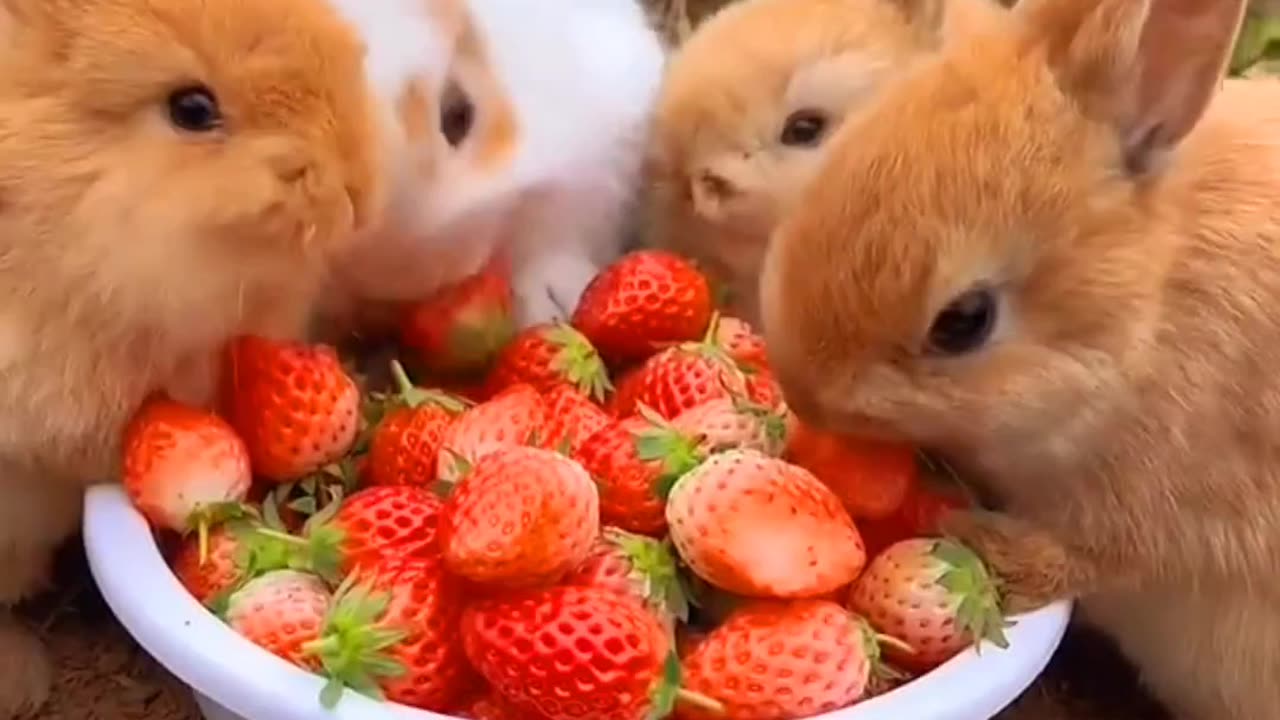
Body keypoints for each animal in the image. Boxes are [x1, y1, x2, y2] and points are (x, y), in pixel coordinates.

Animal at [757, 0, 1280, 712]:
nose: (800, 390)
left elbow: (1090, 559)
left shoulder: (1170, 514)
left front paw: (974, 537)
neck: (1144, 314)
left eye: (965, 322)